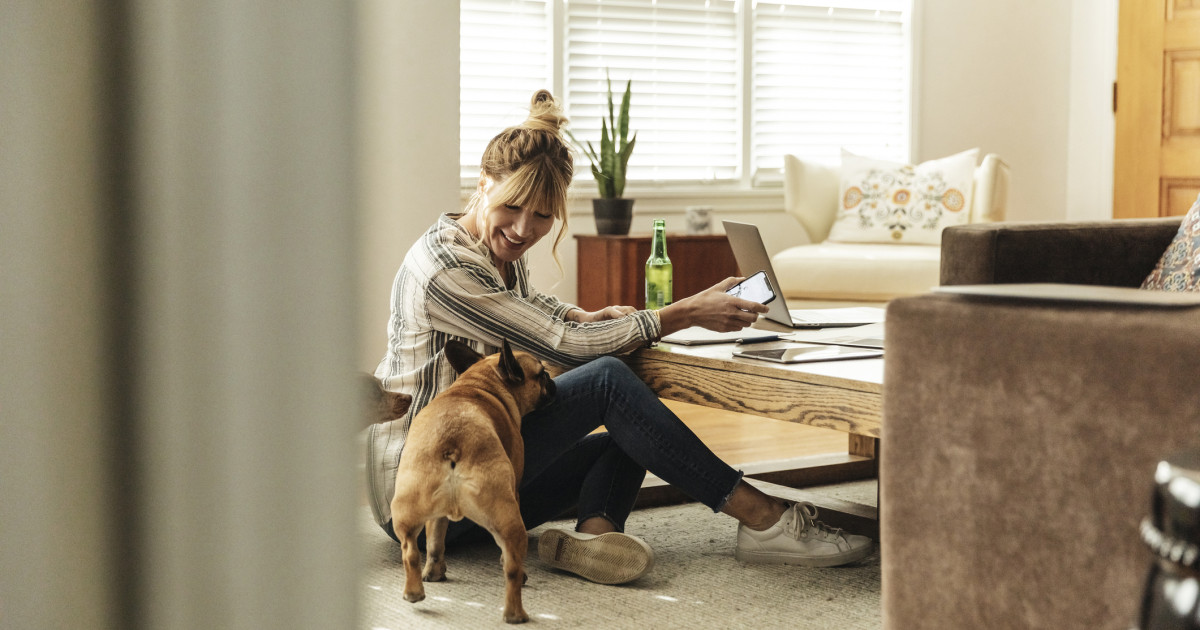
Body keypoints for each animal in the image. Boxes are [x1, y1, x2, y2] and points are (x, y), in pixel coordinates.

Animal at [391, 336, 554, 619]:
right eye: (542, 374)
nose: (553, 381)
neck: (481, 382)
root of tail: (452, 444)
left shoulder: (435, 517)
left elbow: (435, 541)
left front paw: (435, 571)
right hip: (508, 516)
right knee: (511, 567)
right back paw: (515, 612)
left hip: (408, 507)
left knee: (411, 551)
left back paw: (416, 591)